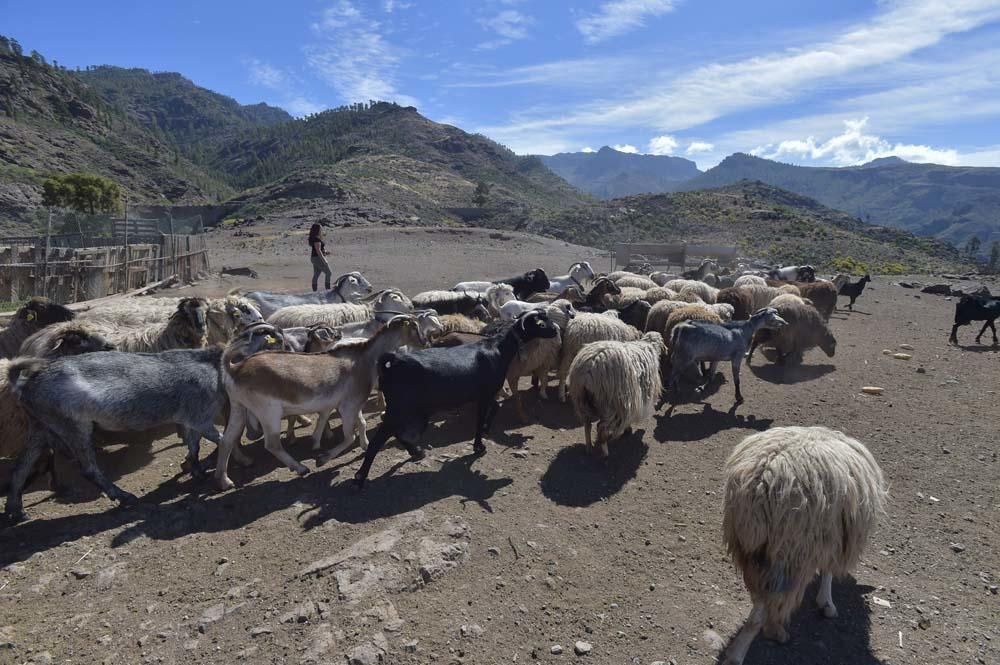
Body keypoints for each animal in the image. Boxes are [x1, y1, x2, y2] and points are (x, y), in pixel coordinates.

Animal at [352, 308, 560, 486]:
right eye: (541, 323)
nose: (556, 330)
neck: (497, 348)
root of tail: (393, 362)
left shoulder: (487, 394)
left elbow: (495, 408)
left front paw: (486, 430)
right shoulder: (484, 395)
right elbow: (480, 420)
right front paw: (479, 446)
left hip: (410, 411)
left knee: (397, 433)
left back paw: (415, 451)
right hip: (399, 409)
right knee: (379, 440)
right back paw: (361, 478)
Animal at [720, 426, 892, 664]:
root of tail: (762, 479)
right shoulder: (831, 537)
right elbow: (828, 572)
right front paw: (827, 603)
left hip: (751, 550)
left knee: (761, 599)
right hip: (790, 552)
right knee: (762, 610)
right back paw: (752, 645)